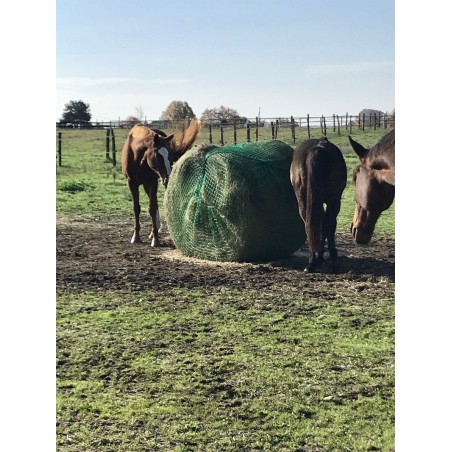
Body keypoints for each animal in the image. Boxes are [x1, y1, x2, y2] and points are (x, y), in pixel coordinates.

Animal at [121, 119, 200, 247]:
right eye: (158, 155)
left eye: (170, 155)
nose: (168, 178)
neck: (137, 155)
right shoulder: (132, 183)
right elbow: (136, 208)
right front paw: (136, 236)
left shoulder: (152, 182)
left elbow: (152, 209)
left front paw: (156, 239)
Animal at [292, 136, 348, 272]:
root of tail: (318, 149)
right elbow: (326, 225)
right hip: (334, 201)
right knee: (329, 224)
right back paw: (331, 260)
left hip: (304, 201)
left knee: (309, 224)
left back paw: (312, 261)